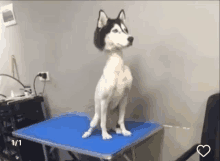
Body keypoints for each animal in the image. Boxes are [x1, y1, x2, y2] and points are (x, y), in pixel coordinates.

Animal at [82, 9, 134, 140]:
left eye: (125, 30)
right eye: (115, 30)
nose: (131, 38)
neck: (118, 67)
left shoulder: (124, 99)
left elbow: (121, 120)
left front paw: (124, 131)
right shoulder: (104, 101)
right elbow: (103, 122)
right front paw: (104, 135)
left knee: (113, 124)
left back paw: (117, 130)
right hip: (97, 115)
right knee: (95, 125)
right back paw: (88, 133)